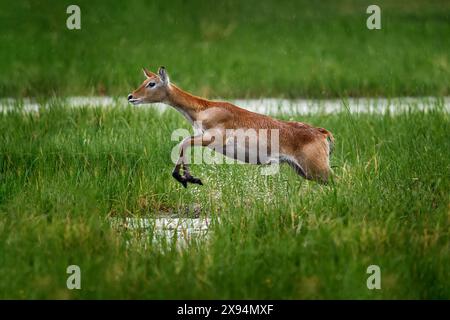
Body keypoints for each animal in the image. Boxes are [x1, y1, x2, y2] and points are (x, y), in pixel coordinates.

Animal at [128, 67, 332, 188]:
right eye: (144, 81)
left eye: (151, 83)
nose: (131, 97)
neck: (205, 109)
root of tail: (321, 133)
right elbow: (183, 144)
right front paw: (187, 178)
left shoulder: (211, 139)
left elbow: (183, 142)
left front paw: (188, 178)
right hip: (305, 171)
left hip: (317, 169)